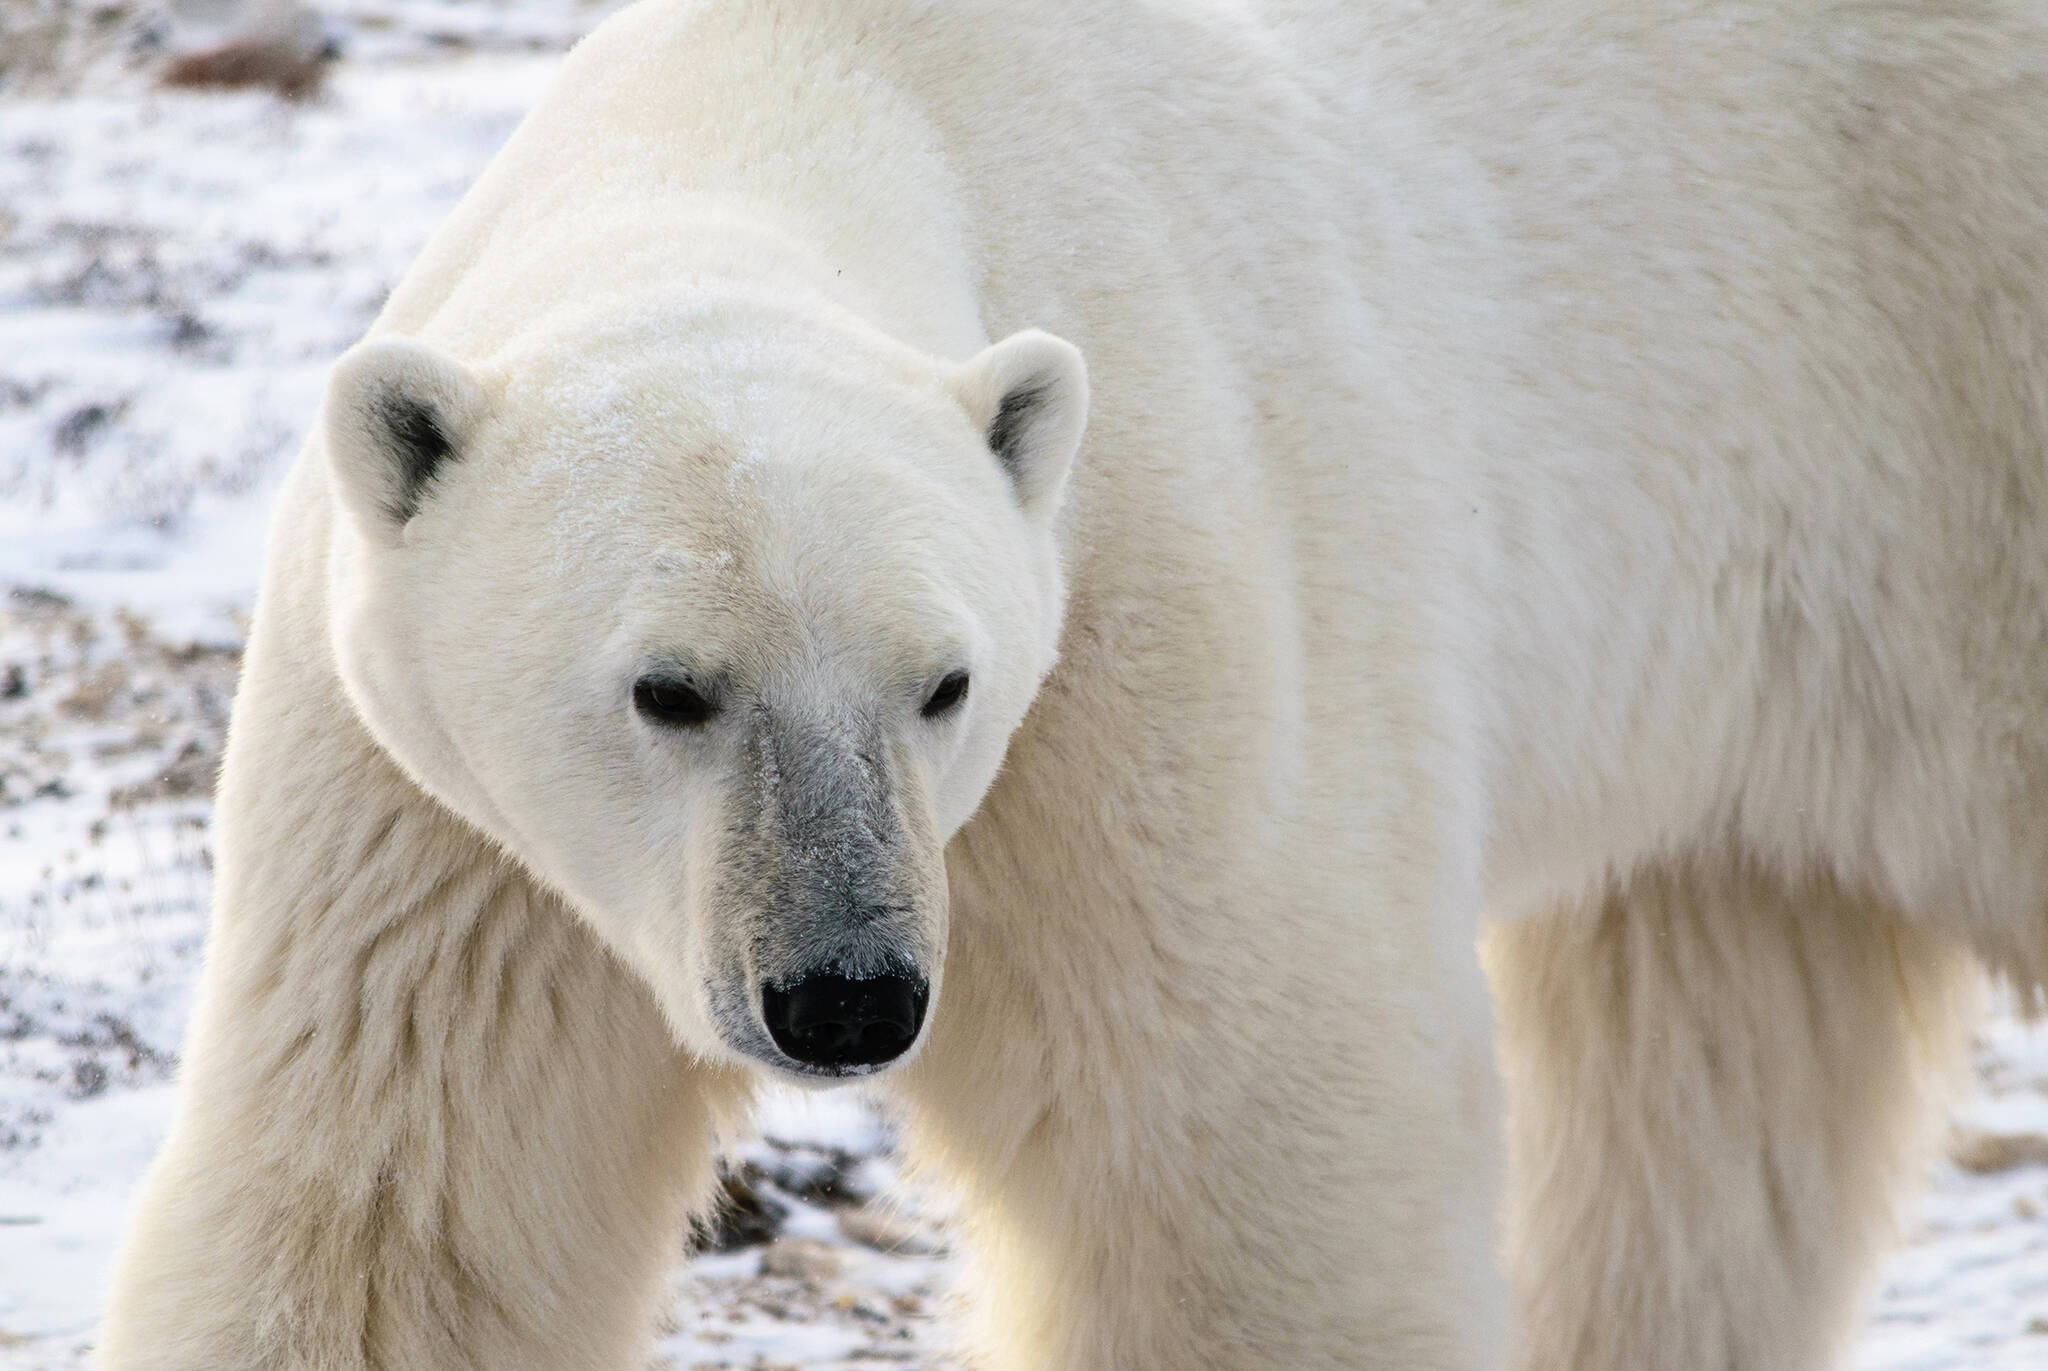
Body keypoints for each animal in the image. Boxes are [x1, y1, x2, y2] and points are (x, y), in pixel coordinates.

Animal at [99, 0, 2048, 1368]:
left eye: (944, 680)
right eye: (670, 687)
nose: (848, 994)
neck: (808, 99)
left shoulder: (1152, 637)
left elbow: (1240, 1157)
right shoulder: (438, 838)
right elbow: (391, 1200)